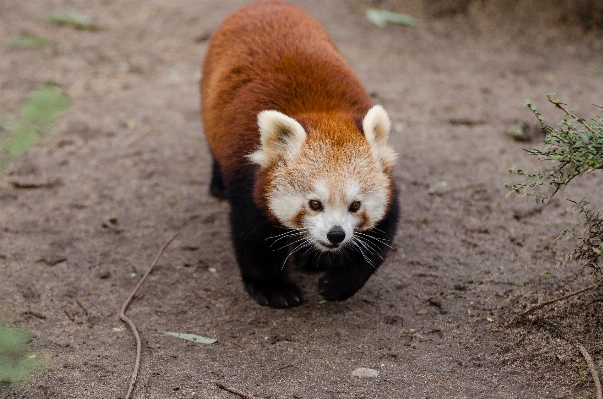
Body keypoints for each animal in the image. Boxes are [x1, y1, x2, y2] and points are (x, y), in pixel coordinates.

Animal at [203, 0, 402, 310]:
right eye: (314, 204)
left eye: (355, 205)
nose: (336, 235)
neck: (322, 114)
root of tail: (263, 5)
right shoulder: (249, 178)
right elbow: (253, 238)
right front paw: (273, 288)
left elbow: (378, 237)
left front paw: (339, 283)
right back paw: (217, 184)